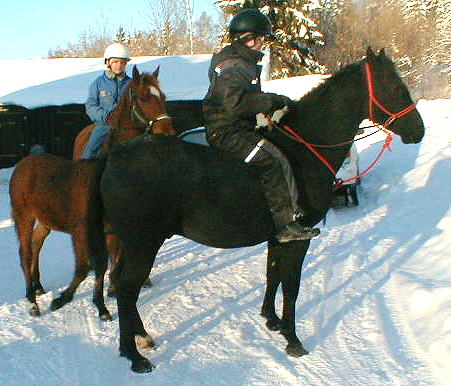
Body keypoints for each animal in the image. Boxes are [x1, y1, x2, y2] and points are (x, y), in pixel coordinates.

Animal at [86, 48, 426, 370]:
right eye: (393, 86)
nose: (418, 131)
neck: (306, 149)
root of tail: (115, 156)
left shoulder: (279, 236)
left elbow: (272, 275)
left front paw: (271, 319)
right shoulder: (299, 239)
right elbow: (291, 287)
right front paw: (293, 339)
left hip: (130, 243)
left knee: (120, 281)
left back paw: (139, 338)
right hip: (143, 243)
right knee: (127, 287)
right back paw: (133, 354)